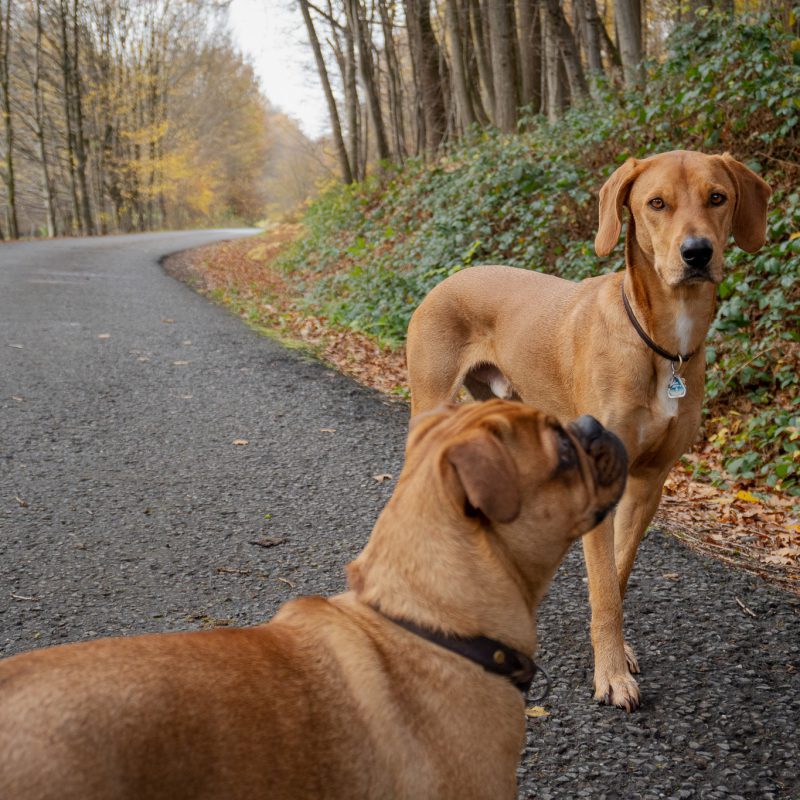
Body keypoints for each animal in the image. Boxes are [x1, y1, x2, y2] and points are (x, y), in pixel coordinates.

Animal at [410, 150, 772, 712]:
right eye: (656, 203)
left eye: (718, 197)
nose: (696, 253)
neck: (660, 345)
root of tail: (447, 279)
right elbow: (604, 586)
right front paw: (612, 675)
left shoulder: (648, 483)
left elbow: (617, 575)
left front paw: (616, 653)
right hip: (430, 405)